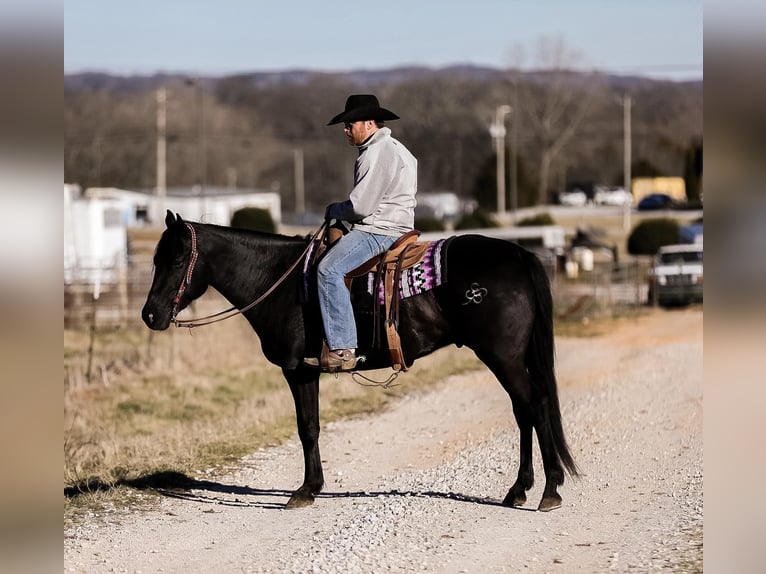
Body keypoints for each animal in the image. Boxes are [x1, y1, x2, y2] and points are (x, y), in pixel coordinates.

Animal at [141, 213, 580, 512]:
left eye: (177, 259)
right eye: (155, 258)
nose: (150, 315)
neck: (277, 280)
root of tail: (519, 255)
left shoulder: (298, 370)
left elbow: (307, 428)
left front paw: (305, 490)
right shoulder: (305, 372)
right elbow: (311, 427)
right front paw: (312, 487)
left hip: (503, 356)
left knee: (534, 405)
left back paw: (549, 489)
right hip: (508, 358)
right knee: (524, 411)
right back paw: (519, 490)